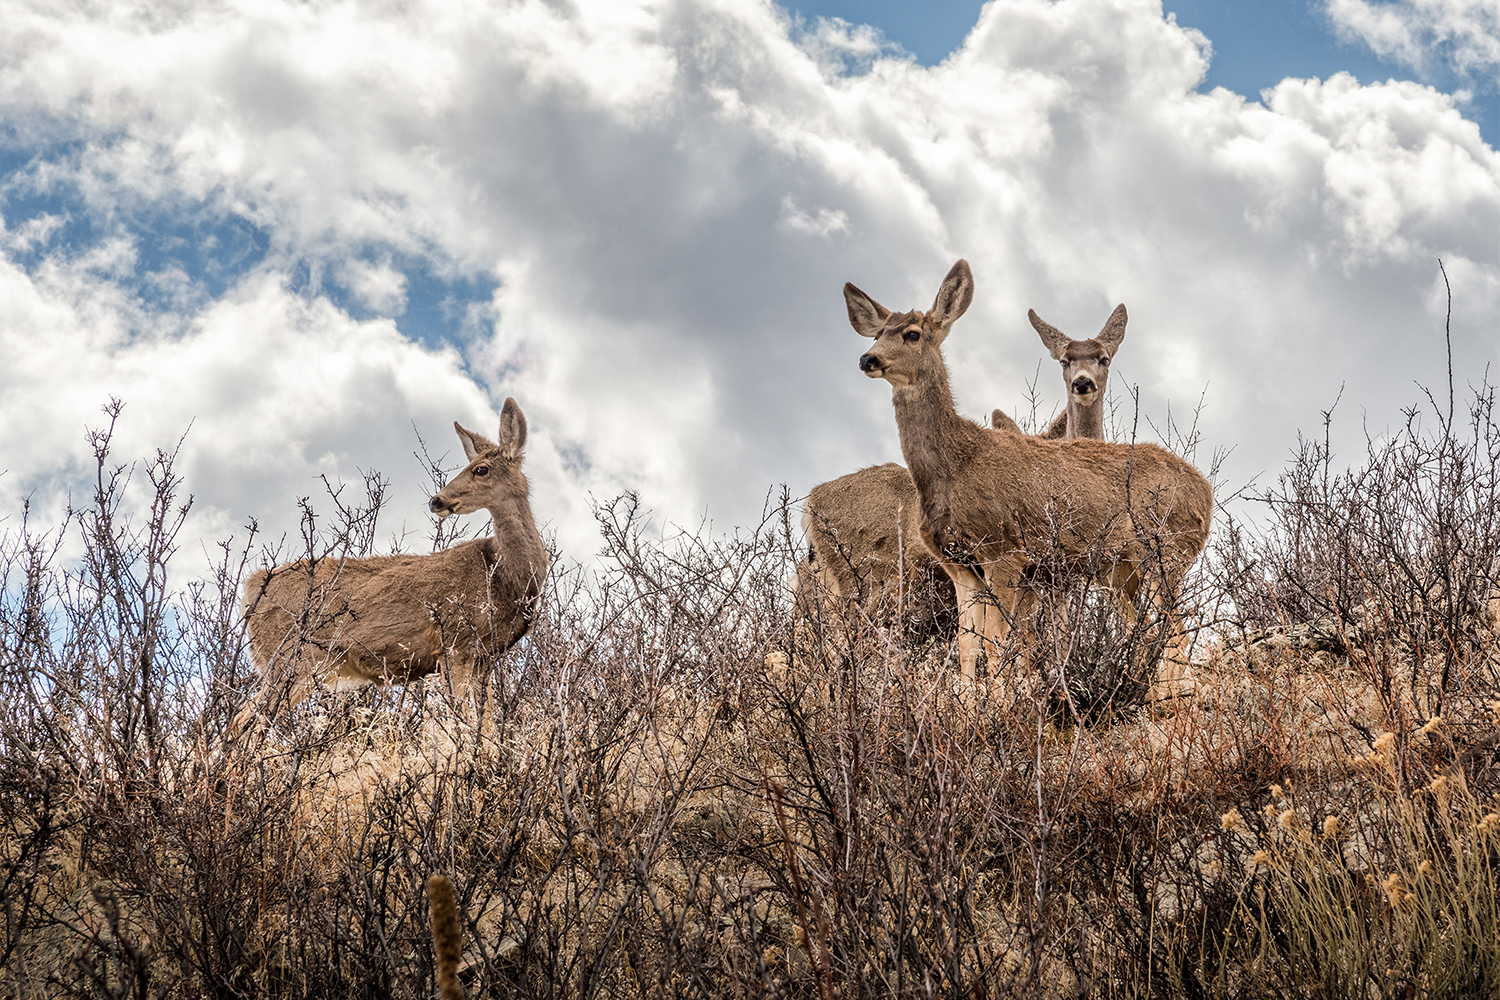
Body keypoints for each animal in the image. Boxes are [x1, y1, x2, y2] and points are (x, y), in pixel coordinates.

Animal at [229, 395, 546, 731]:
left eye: (481, 469)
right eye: (471, 466)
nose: (436, 500)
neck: (503, 575)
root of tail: (250, 588)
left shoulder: (484, 657)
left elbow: (487, 727)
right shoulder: (455, 642)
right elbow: (460, 723)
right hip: (290, 658)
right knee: (242, 721)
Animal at [852, 263, 1212, 689]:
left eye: (912, 333)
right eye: (878, 333)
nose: (868, 358)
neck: (954, 465)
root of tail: (1205, 491)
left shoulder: (1005, 549)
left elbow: (996, 640)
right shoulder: (959, 564)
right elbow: (968, 645)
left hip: (1166, 551)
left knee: (1176, 632)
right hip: (1125, 570)